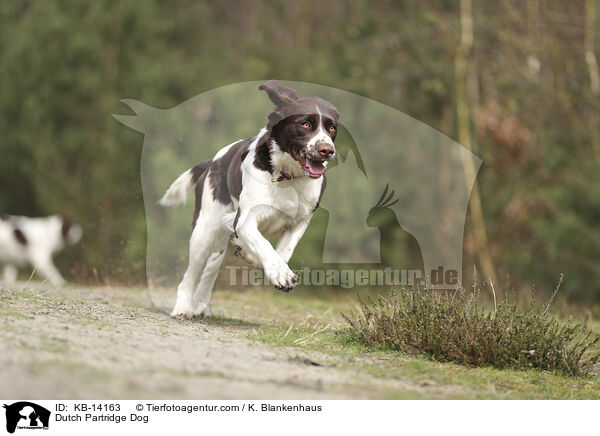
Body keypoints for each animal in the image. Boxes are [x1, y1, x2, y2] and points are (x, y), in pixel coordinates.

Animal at [159, 80, 338, 318]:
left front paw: (264, 262)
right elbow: (262, 243)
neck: (287, 176)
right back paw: (183, 308)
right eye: (306, 124)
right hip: (204, 231)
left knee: (210, 269)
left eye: (332, 128)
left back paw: (200, 305)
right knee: (191, 274)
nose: (327, 150)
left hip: (218, 246)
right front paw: (282, 275)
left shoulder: (300, 221)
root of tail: (211, 163)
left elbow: (284, 250)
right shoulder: (244, 220)